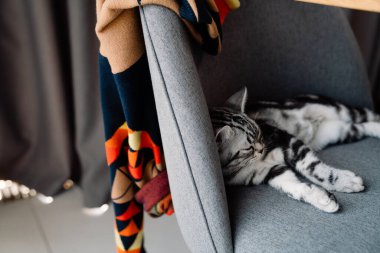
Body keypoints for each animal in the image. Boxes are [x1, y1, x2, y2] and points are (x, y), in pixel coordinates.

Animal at [211, 88, 380, 212]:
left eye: (259, 133)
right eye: (249, 148)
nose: (263, 148)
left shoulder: (288, 141)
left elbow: (312, 168)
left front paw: (343, 181)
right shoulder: (265, 172)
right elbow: (292, 187)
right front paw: (322, 199)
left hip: (341, 111)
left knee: (369, 114)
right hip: (338, 131)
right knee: (361, 127)